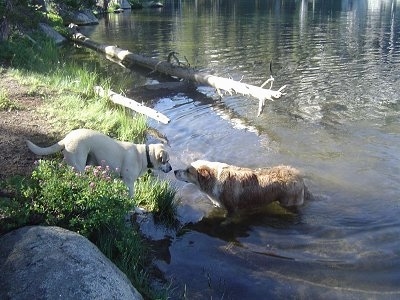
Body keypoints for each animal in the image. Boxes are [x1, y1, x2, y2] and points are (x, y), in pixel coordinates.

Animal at [25, 128, 173, 197]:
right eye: (166, 161)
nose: (171, 169)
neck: (144, 155)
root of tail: (66, 139)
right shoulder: (129, 183)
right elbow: (132, 197)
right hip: (79, 167)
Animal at [173, 159, 308, 216]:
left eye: (188, 171)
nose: (174, 171)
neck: (214, 178)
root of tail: (299, 176)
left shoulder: (232, 208)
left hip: (288, 201)